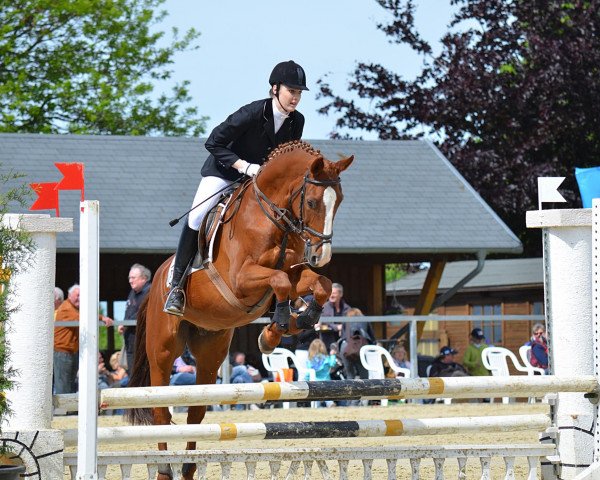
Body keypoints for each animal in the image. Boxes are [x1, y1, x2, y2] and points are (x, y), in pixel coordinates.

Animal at [126, 141, 352, 478]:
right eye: (312, 202)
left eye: (339, 202)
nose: (320, 255)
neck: (273, 217)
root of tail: (153, 287)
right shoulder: (242, 280)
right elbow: (279, 281)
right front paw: (279, 324)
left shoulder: (296, 273)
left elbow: (319, 284)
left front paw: (289, 326)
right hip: (163, 351)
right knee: (160, 412)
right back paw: (165, 469)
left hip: (211, 352)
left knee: (195, 414)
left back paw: (188, 467)